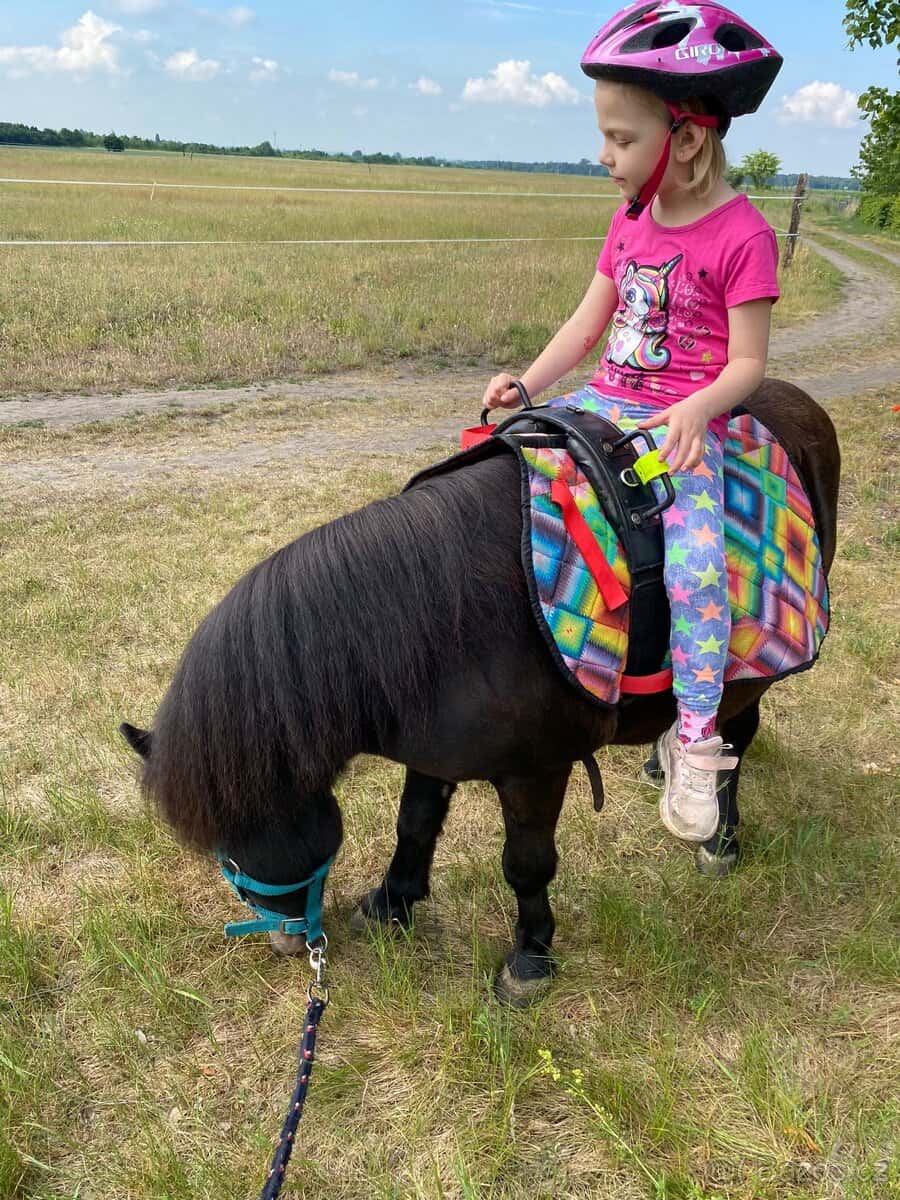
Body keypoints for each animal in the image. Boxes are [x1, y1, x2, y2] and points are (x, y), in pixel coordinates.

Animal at [121, 378, 839, 1006]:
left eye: (240, 834)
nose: (287, 942)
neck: (450, 615)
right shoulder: (431, 747)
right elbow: (414, 822)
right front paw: (392, 902)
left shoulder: (536, 771)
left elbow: (526, 863)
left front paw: (530, 957)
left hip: (750, 664)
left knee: (736, 737)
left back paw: (718, 835)